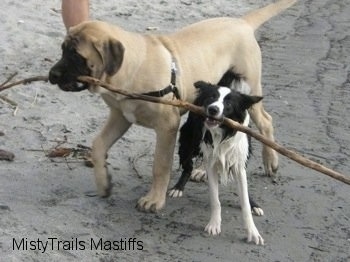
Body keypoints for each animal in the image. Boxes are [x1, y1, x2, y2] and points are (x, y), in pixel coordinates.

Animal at [48, 0, 296, 212]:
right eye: (62, 49)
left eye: (76, 55)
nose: (51, 76)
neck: (131, 69)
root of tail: (242, 22)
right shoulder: (121, 116)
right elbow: (98, 145)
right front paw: (103, 183)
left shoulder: (167, 126)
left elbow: (161, 164)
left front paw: (154, 200)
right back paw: (202, 169)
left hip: (249, 88)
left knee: (265, 121)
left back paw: (271, 162)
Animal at [171, 81, 264, 245]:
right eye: (211, 98)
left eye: (229, 104)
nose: (213, 109)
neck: (223, 132)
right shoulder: (211, 164)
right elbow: (215, 200)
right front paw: (214, 225)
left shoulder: (239, 164)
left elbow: (245, 201)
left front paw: (253, 232)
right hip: (189, 141)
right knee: (187, 166)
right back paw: (178, 188)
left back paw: (255, 205)